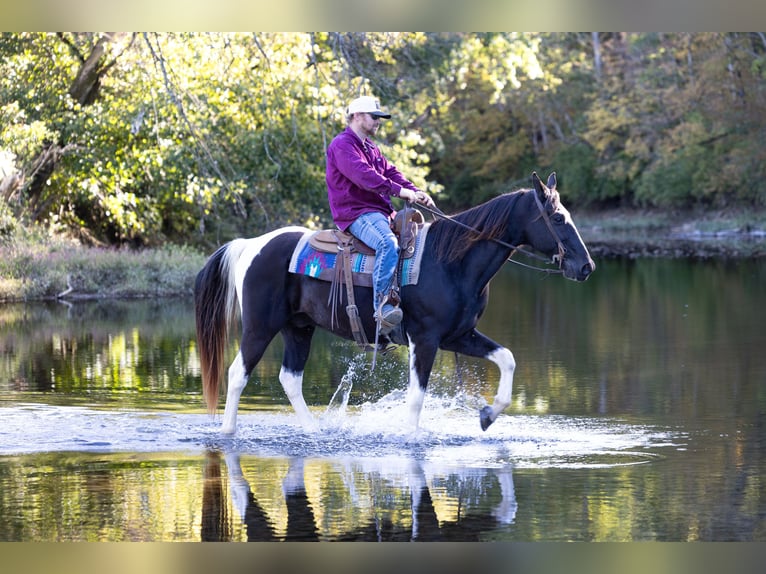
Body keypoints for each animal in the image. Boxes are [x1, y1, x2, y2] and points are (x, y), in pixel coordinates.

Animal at [194, 172, 595, 435]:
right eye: (557, 217)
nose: (586, 266)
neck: (449, 262)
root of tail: (250, 244)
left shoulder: (459, 336)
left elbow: (508, 358)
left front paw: (487, 415)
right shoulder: (426, 339)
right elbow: (417, 397)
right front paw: (412, 438)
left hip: (299, 328)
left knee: (290, 378)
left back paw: (315, 431)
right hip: (260, 327)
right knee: (238, 374)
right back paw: (228, 432)